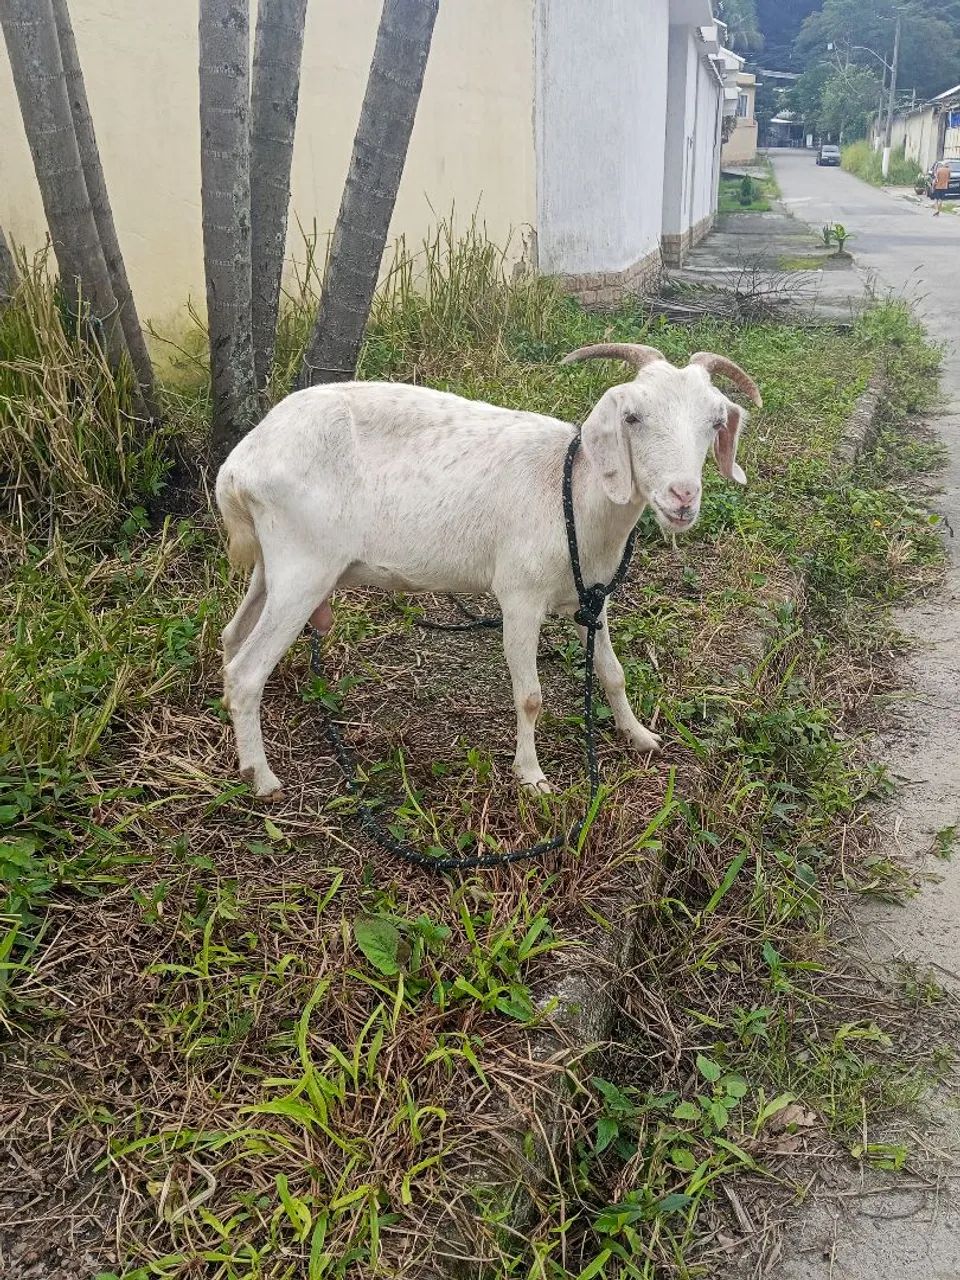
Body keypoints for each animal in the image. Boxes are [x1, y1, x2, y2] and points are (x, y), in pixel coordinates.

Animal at [216, 344, 761, 797]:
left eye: (716, 422)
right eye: (633, 417)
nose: (682, 496)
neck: (572, 490)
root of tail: (239, 464)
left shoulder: (593, 596)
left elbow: (613, 672)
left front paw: (640, 735)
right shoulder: (519, 598)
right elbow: (530, 696)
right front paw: (532, 777)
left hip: (274, 564)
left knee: (231, 637)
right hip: (305, 566)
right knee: (247, 670)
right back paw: (261, 777)